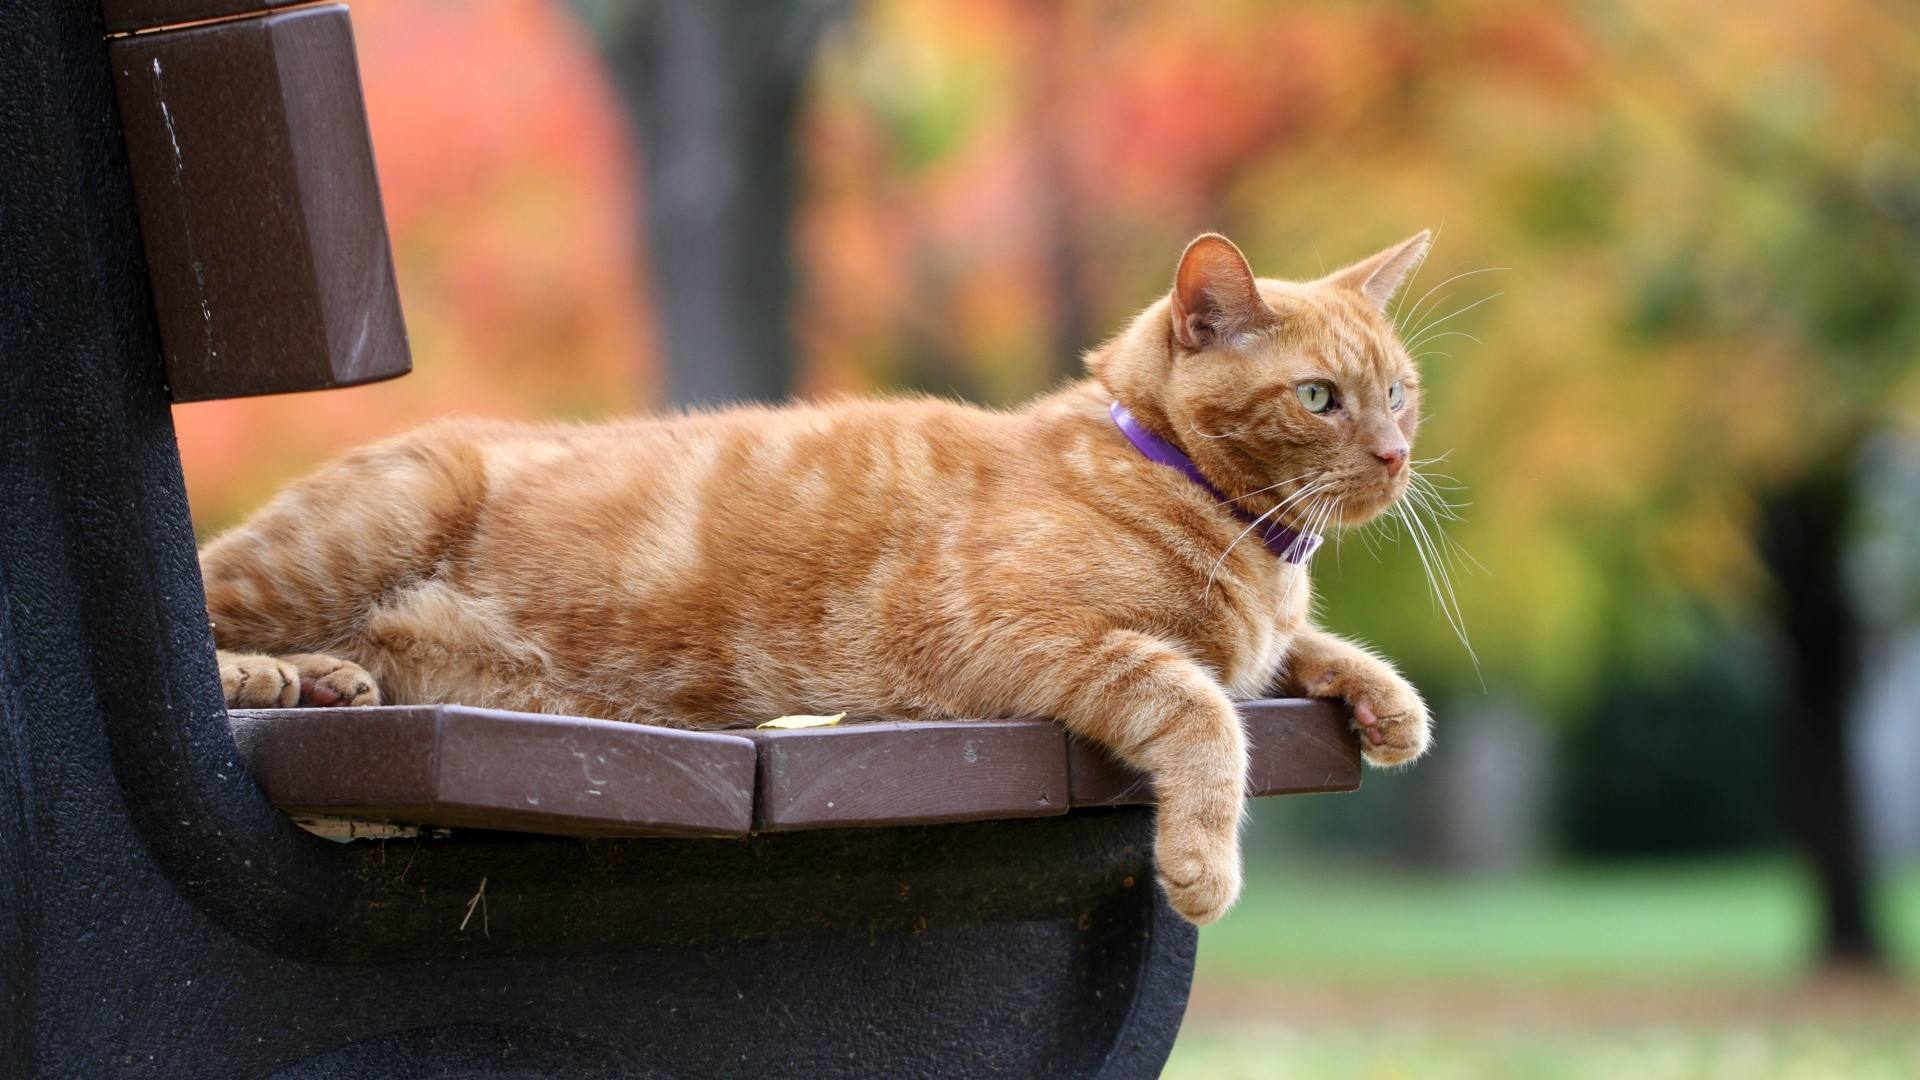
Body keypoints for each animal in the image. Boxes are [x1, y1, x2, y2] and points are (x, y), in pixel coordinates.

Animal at [214, 233, 1443, 926]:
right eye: (1321, 398)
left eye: (1402, 392)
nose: (1396, 455)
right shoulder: (1008, 633)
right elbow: (1199, 705)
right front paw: (1201, 863)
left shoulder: (1250, 630)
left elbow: (1283, 655)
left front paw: (1384, 698)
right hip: (354, 533)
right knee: (215, 602)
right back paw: (277, 678)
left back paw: (329, 682)